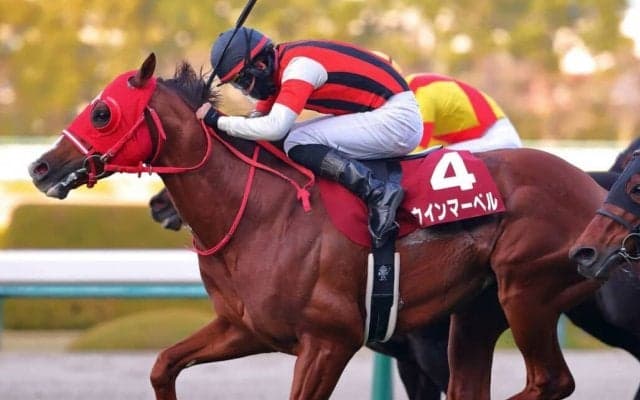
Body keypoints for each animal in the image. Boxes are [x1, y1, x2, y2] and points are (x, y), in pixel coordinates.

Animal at [28, 53, 605, 400]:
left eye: (102, 113)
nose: (41, 168)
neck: (258, 214)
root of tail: (597, 195)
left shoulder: (330, 340)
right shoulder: (245, 327)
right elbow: (163, 364)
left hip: (526, 291)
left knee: (551, 380)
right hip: (475, 313)